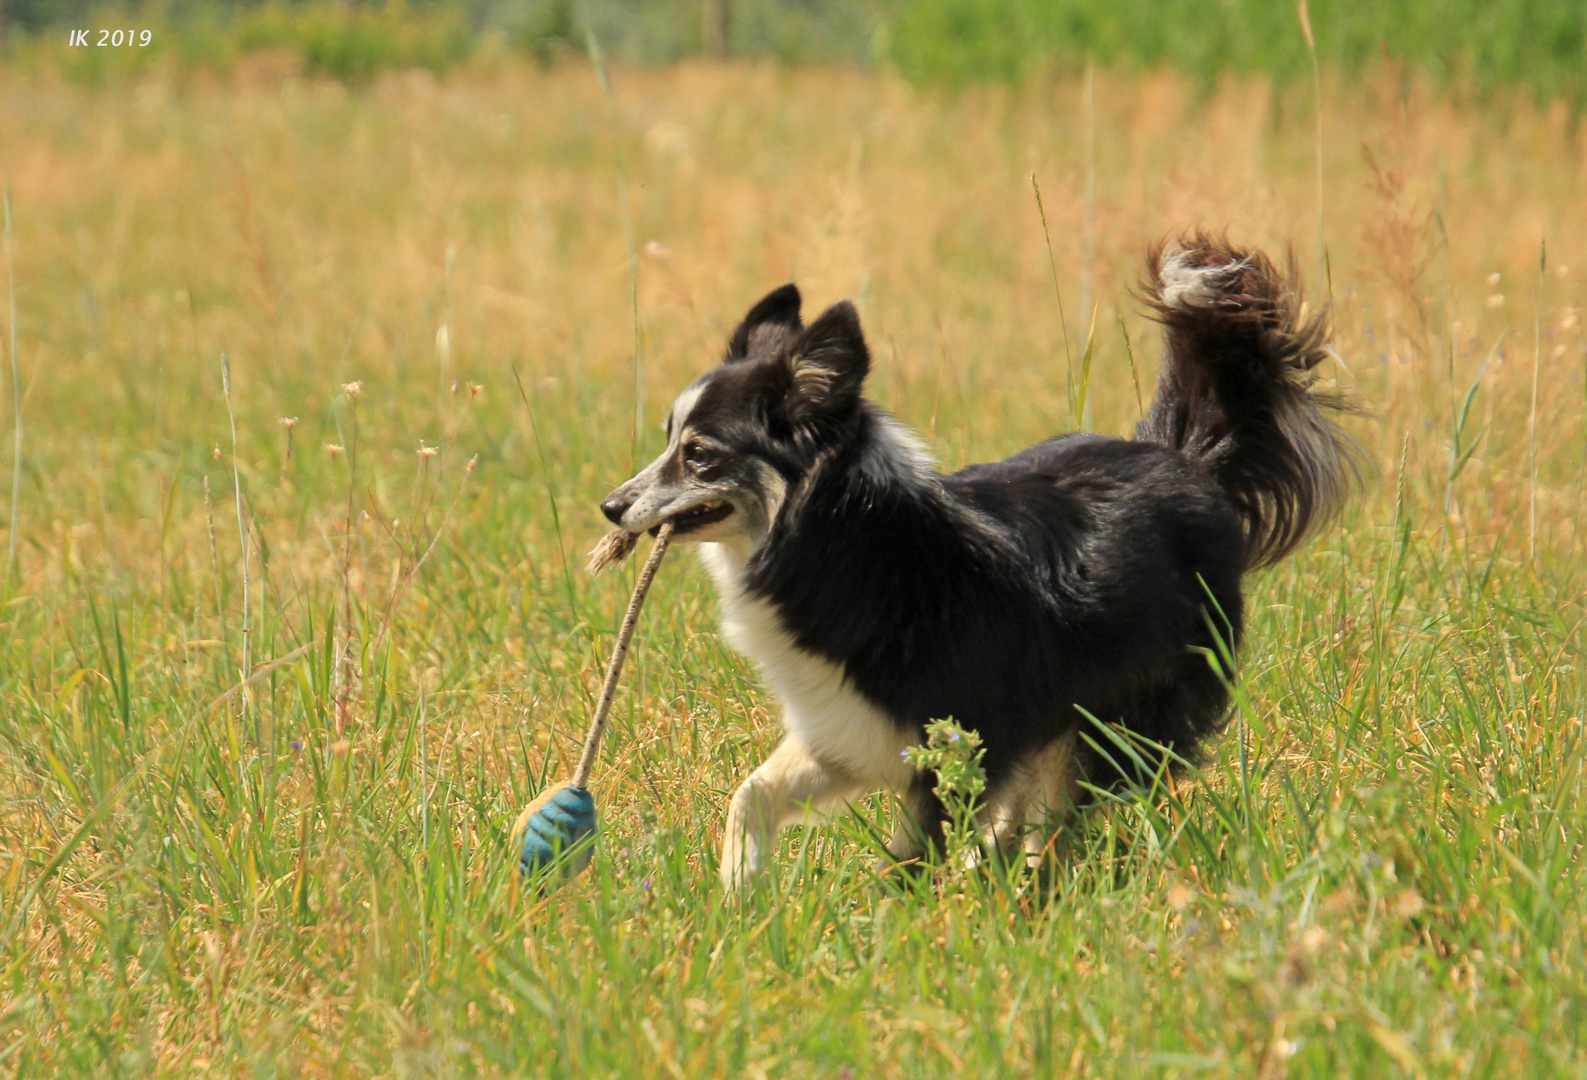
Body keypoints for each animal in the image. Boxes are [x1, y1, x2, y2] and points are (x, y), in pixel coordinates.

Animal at [599, 233, 1358, 881]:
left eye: (699, 455)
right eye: (667, 440)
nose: (609, 506)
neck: (852, 548)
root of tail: (1179, 457)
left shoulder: (957, 752)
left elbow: (905, 866)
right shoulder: (849, 728)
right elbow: (749, 796)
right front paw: (742, 897)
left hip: (1114, 720)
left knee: (1064, 818)